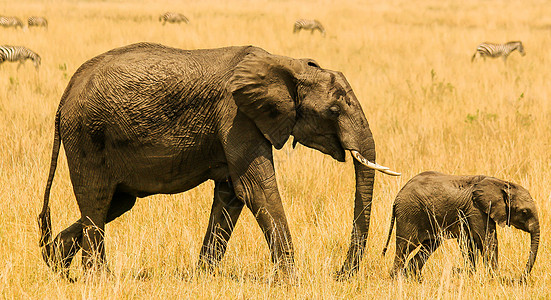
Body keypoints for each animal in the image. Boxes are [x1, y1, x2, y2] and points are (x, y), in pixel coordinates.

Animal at [40, 41, 402, 278]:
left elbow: (232, 193)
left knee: (116, 203)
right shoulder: (237, 115)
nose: (342, 273)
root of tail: (64, 96)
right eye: (335, 111)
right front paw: (291, 281)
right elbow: (256, 189)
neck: (288, 64)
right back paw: (96, 278)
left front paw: (204, 277)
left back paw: (56, 264)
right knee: (97, 200)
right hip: (88, 135)